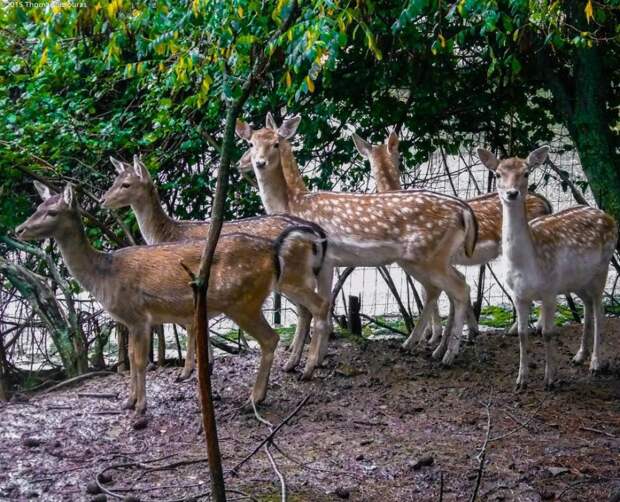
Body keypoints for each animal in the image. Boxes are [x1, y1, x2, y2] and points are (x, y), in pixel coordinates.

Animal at [15, 182, 330, 414]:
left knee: (273, 336)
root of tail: (273, 250)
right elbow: (132, 360)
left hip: (242, 301)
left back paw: (257, 396)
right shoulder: (132, 321)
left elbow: (139, 360)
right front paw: (128, 401)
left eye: (52, 212)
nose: (19, 229)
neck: (104, 276)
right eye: (38, 206)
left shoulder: (138, 315)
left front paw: (140, 407)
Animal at [101, 157, 332, 380]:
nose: (103, 200)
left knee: (313, 307)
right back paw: (293, 363)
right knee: (306, 310)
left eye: (126, 184)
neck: (170, 234)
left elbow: (191, 325)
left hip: (292, 276)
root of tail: (316, 233)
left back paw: (306, 367)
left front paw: (186, 372)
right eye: (114, 180)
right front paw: (207, 366)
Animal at [235, 113, 482, 364]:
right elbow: (323, 305)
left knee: (460, 288)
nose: (257, 163)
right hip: (426, 258)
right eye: (251, 143)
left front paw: (305, 360)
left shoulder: (322, 261)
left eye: (276, 143)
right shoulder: (327, 264)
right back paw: (435, 348)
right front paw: (316, 356)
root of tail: (463, 210)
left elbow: (314, 308)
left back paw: (447, 355)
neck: (294, 203)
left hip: (429, 256)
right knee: (448, 288)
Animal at [354, 129, 552, 344]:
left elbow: (433, 292)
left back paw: (525, 328)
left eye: (398, 155)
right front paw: (467, 330)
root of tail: (547, 204)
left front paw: (433, 336)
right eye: (370, 160)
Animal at [478, 147, 616, 390]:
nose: (512, 193)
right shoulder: (518, 294)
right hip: (578, 280)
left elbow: (548, 333)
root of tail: (610, 218)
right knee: (588, 307)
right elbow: (522, 334)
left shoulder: (550, 290)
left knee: (600, 312)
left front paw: (550, 379)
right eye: (497, 174)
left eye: (526, 173)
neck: (526, 263)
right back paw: (579, 355)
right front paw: (521, 380)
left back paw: (595, 363)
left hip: (603, 268)